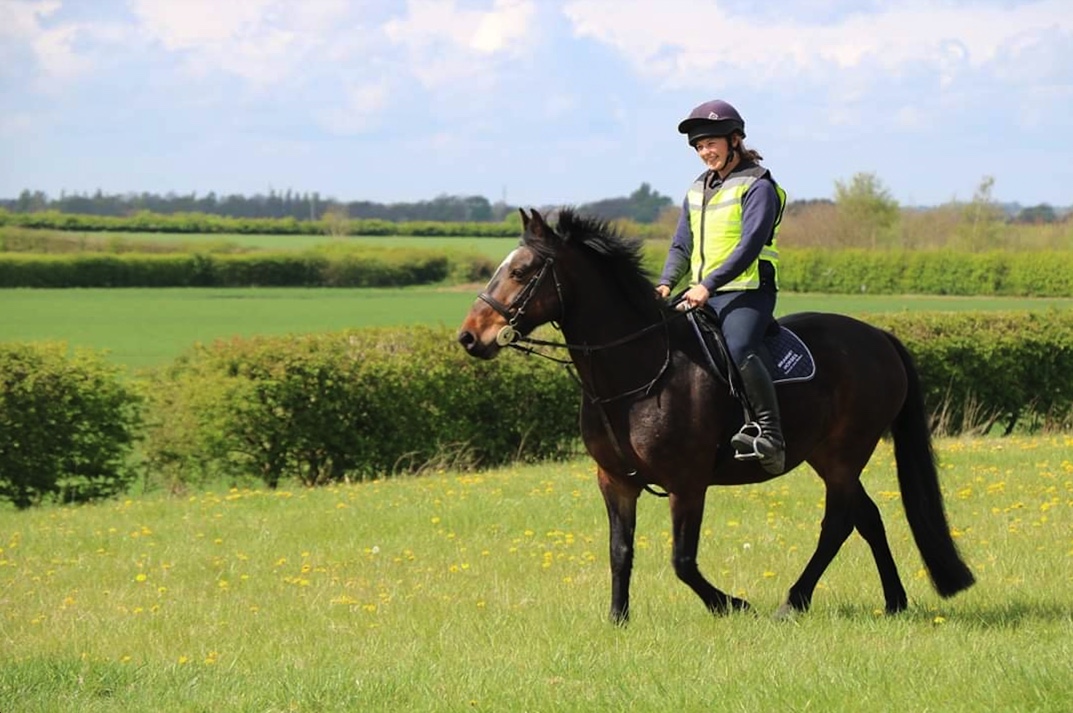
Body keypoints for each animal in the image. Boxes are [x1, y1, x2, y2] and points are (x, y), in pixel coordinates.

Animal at [457, 208, 974, 623]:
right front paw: (617, 619)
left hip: (845, 454)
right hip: (826, 456)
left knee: (839, 523)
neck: (637, 371)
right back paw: (893, 601)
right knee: (867, 518)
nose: (468, 337)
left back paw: (794, 602)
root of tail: (879, 336)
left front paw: (732, 605)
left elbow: (682, 561)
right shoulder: (615, 480)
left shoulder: (687, 483)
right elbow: (620, 551)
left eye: (522, 271)